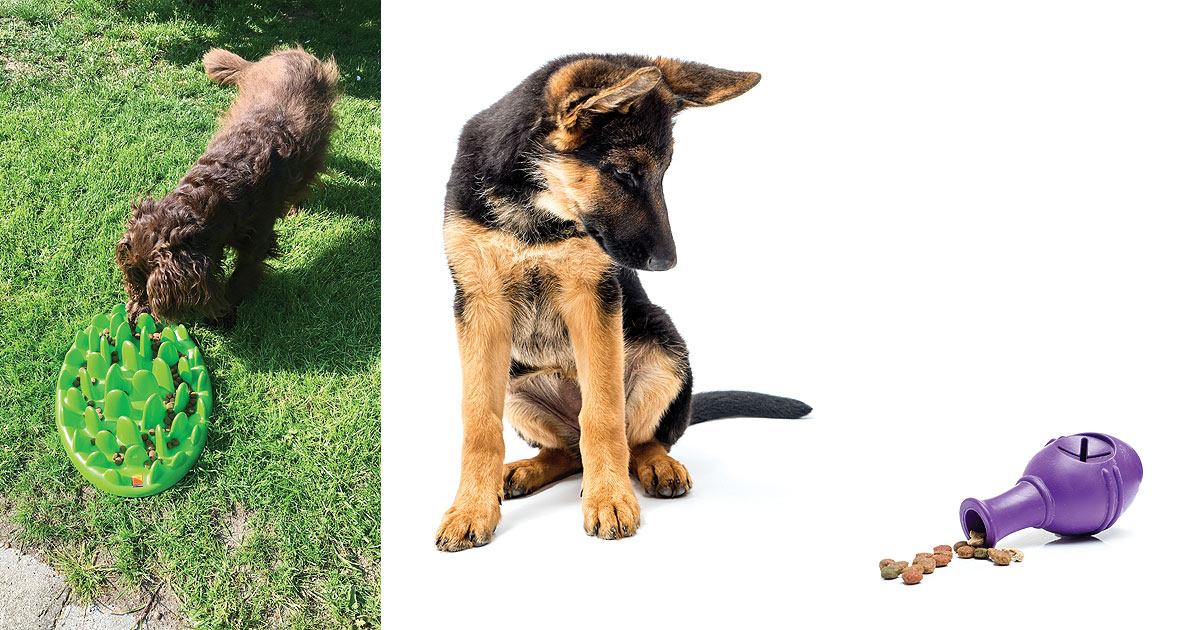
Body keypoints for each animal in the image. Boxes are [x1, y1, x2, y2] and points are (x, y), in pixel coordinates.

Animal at [117, 45, 338, 324]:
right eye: (135, 274)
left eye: (151, 287)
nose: (133, 319)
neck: (218, 189)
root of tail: (292, 52)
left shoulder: (258, 239)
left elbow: (241, 277)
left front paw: (224, 316)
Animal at [436, 56, 811, 552]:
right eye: (624, 173)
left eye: (663, 173)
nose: (669, 263)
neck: (535, 211)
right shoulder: (479, 303)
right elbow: (479, 421)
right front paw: (471, 508)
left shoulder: (595, 297)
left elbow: (604, 414)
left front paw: (609, 499)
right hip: (515, 381)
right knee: (568, 450)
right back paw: (525, 470)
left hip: (665, 349)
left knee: (638, 439)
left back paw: (656, 466)